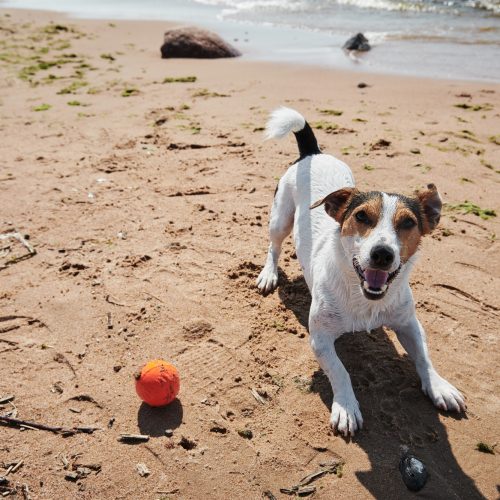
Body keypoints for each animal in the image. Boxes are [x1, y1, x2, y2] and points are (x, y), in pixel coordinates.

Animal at [258, 107, 464, 436]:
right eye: (361, 216)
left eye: (408, 223)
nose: (382, 254)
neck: (364, 297)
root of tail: (313, 154)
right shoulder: (320, 338)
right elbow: (341, 372)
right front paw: (346, 407)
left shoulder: (409, 323)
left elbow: (424, 356)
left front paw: (438, 386)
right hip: (280, 218)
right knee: (274, 247)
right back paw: (269, 274)